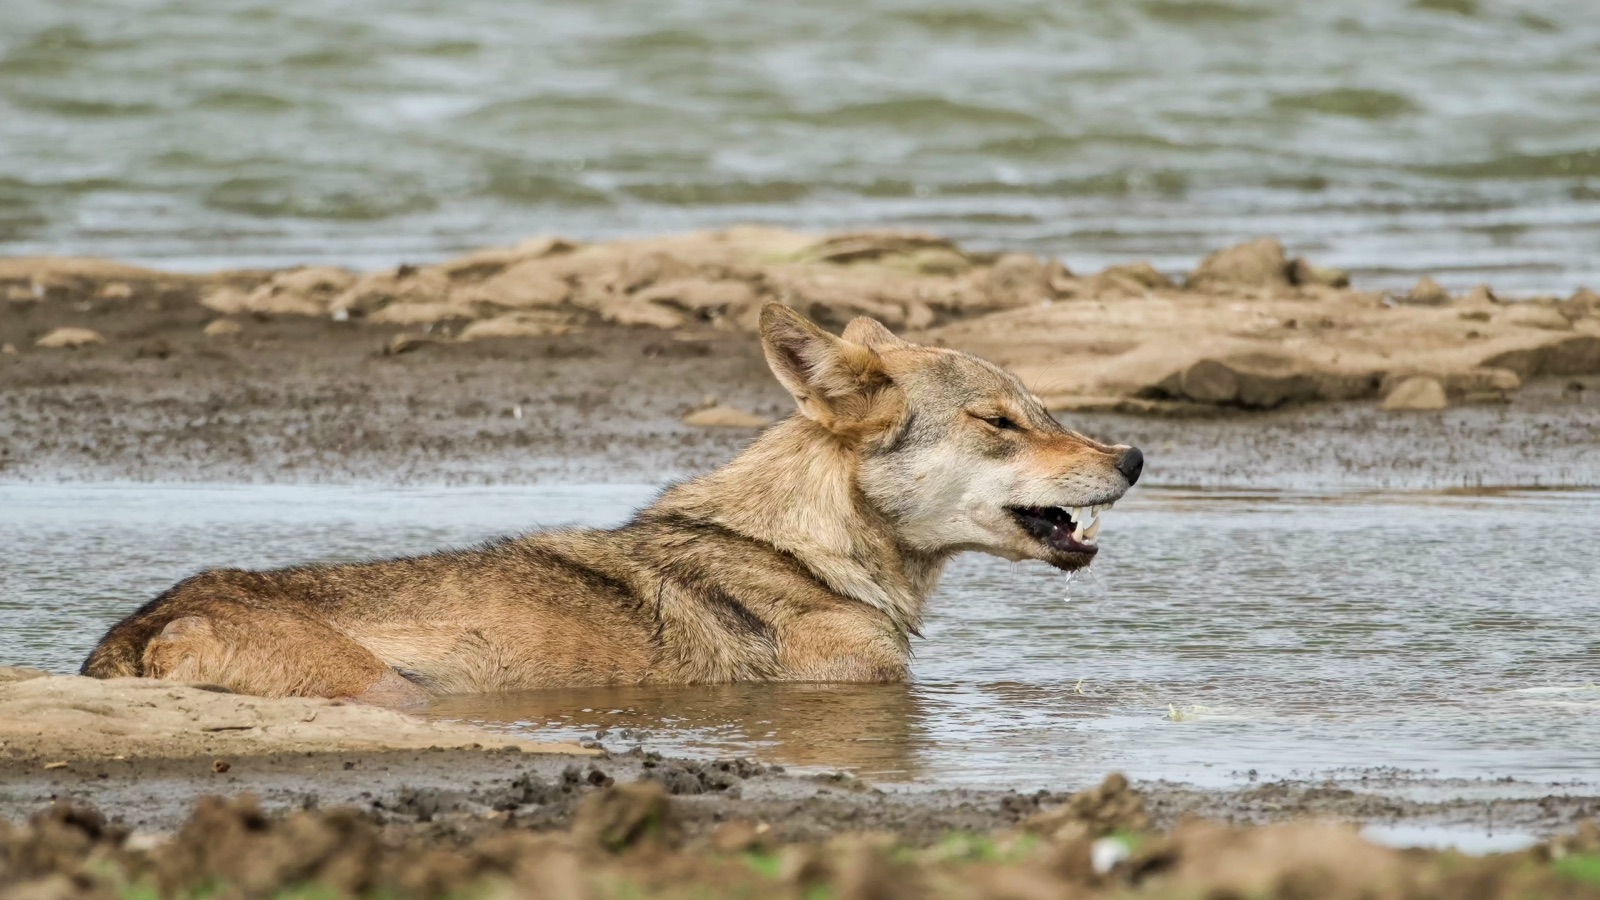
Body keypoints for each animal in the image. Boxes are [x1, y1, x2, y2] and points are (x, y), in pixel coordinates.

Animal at [81, 304, 1143, 704]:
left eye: (1046, 411)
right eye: (999, 420)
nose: (1134, 456)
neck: (805, 553)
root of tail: (139, 630)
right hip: (396, 691)